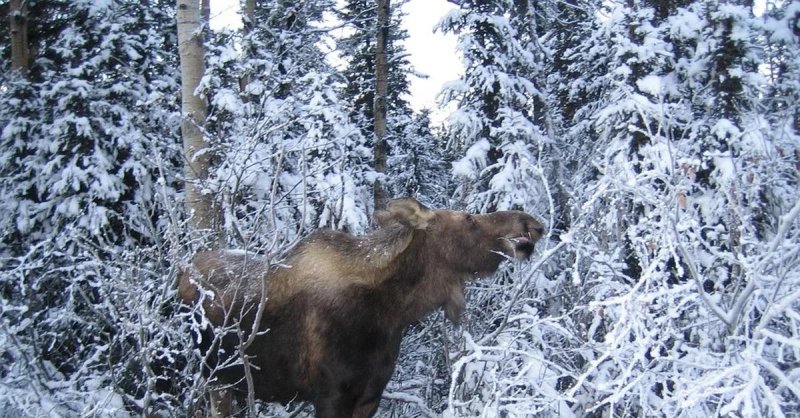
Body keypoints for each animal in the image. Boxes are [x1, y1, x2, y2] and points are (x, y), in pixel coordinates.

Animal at [179, 198, 544, 418]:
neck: (394, 312)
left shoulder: (370, 395)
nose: (531, 222)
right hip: (211, 380)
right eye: (469, 219)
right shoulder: (330, 395)